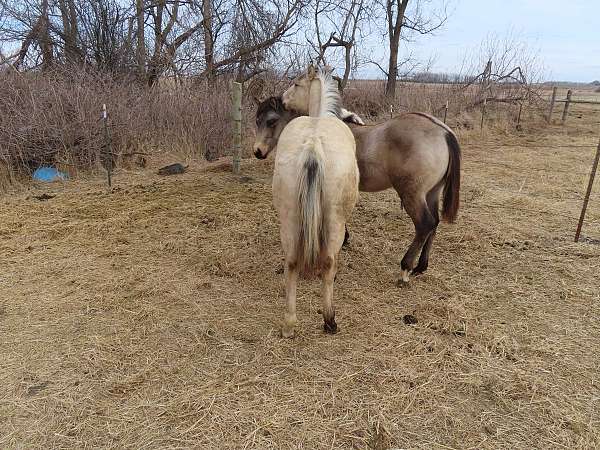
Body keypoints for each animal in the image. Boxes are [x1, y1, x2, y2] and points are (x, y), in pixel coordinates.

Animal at [252, 94, 460, 284]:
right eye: (257, 120)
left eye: (271, 121)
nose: (257, 151)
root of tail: (444, 132)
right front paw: (344, 238)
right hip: (431, 193)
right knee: (434, 223)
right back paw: (421, 267)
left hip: (413, 195)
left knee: (425, 224)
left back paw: (405, 269)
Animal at [255, 65, 358, 336]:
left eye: (295, 84)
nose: (282, 100)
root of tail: (313, 145)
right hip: (333, 221)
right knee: (329, 262)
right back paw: (330, 320)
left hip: (289, 218)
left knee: (291, 262)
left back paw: (289, 323)